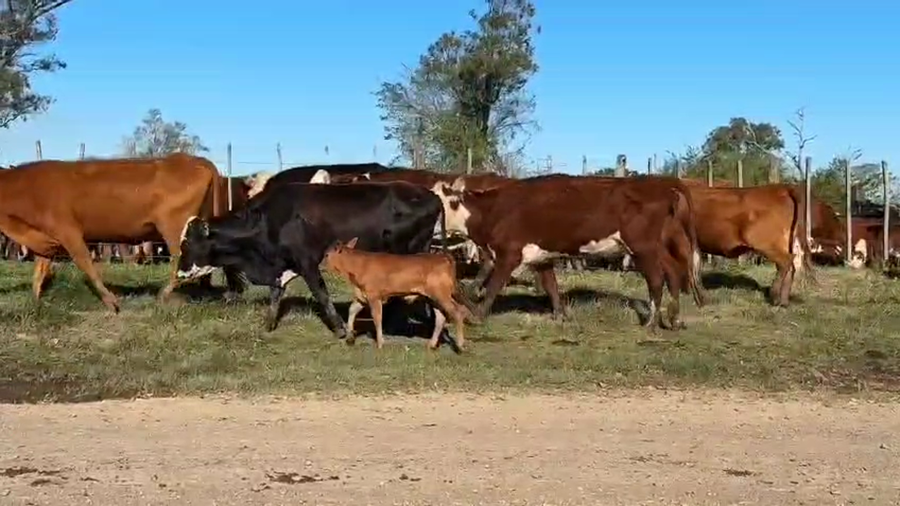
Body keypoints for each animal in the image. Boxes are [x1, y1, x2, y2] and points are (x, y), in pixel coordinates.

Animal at [0, 153, 224, 311]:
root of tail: (193, 159)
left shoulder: (69, 232)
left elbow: (86, 264)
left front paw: (110, 300)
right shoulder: (45, 238)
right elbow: (39, 272)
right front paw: (35, 302)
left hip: (174, 227)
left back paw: (165, 294)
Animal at [175, 181, 448, 335]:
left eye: (187, 243)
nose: (178, 272)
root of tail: (431, 195)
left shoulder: (307, 261)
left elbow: (321, 293)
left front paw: (339, 328)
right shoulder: (282, 265)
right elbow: (276, 294)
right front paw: (268, 324)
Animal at [433, 174, 705, 330]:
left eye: (439, 203)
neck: (493, 211)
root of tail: (663, 183)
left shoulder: (509, 253)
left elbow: (493, 286)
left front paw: (478, 315)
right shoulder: (541, 257)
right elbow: (551, 286)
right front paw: (561, 315)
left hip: (643, 246)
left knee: (657, 278)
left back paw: (650, 322)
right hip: (657, 245)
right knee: (673, 271)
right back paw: (674, 318)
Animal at [678, 182, 813, 306]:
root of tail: (782, 188)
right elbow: (695, 268)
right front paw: (701, 299)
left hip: (767, 243)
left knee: (785, 261)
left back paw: (774, 296)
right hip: (787, 241)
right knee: (791, 266)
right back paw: (783, 301)